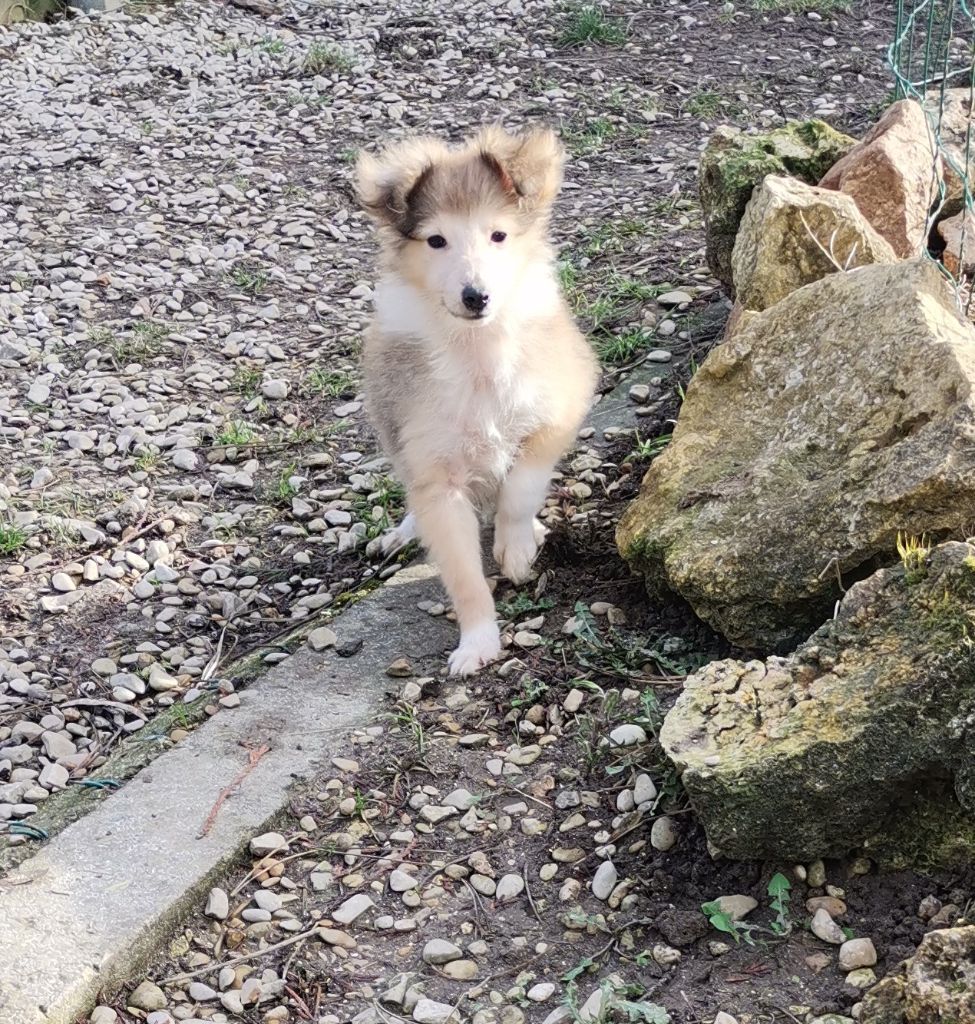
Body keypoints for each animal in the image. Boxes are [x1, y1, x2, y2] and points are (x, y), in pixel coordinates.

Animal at [355, 124, 598, 675]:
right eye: (436, 240)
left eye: (498, 235)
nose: (476, 296)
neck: (478, 353)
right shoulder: (436, 479)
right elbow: (464, 577)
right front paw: (478, 643)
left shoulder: (561, 405)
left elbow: (523, 484)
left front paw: (516, 547)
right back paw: (400, 533)